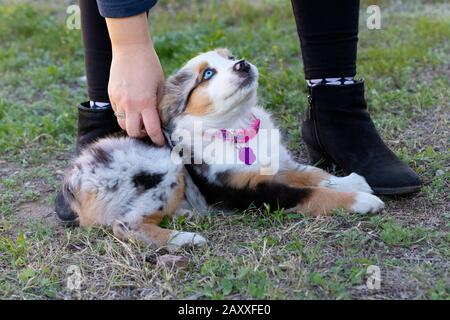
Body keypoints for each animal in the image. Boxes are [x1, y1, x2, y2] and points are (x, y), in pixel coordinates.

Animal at [63, 48, 384, 250]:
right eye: (207, 75)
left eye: (230, 58)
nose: (242, 64)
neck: (237, 127)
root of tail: (74, 182)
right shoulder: (250, 190)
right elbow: (310, 193)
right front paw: (360, 200)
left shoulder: (277, 166)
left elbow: (313, 174)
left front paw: (351, 181)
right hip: (165, 167)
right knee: (125, 225)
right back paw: (185, 240)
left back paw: (185, 215)